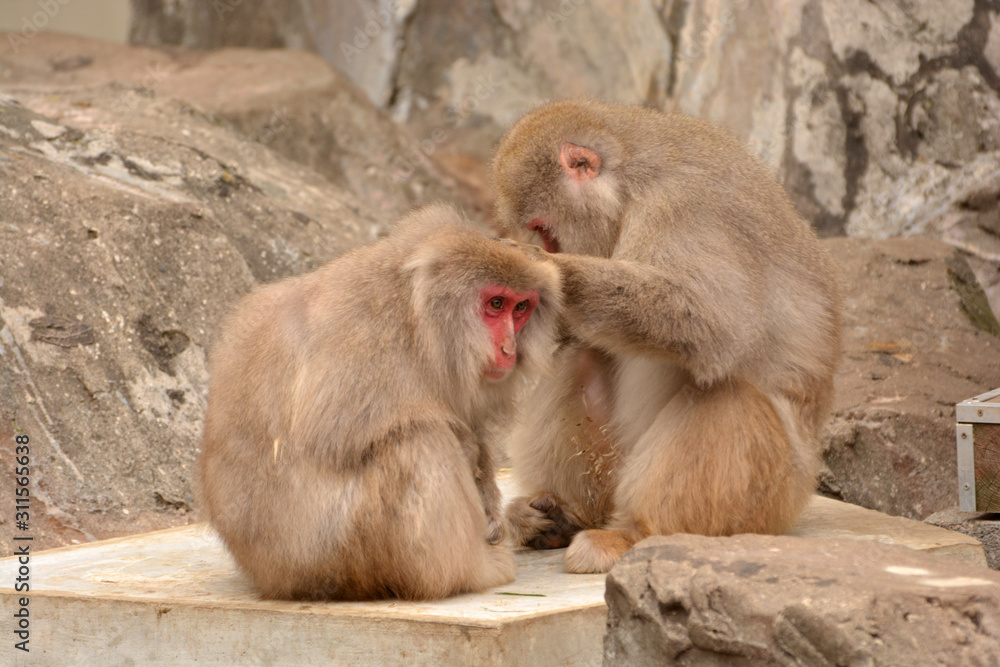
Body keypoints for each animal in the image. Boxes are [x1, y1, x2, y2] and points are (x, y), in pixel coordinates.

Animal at [197, 204, 564, 600]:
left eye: (521, 307)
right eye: (496, 304)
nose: (509, 349)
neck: (419, 318)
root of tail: (266, 576)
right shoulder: (364, 334)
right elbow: (334, 434)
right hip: (335, 555)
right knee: (419, 441)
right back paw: (467, 573)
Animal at [492, 99, 844, 576]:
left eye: (543, 229)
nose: (548, 246)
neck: (630, 184)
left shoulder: (683, 206)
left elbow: (714, 321)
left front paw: (552, 271)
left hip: (772, 501)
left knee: (728, 394)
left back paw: (632, 533)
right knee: (580, 354)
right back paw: (564, 516)